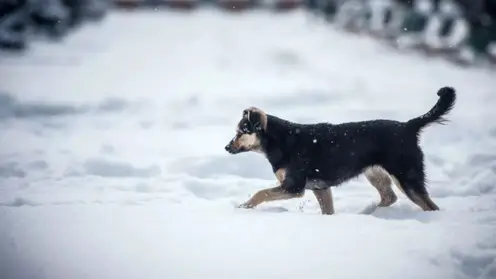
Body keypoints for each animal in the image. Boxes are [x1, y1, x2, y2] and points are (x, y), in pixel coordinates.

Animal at [225, 86, 458, 215]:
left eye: (240, 132)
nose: (226, 147)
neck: (279, 140)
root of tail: (408, 126)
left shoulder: (294, 187)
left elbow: (260, 193)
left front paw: (243, 207)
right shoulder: (321, 188)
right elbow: (328, 211)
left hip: (407, 176)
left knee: (429, 206)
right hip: (375, 173)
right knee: (389, 197)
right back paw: (369, 213)